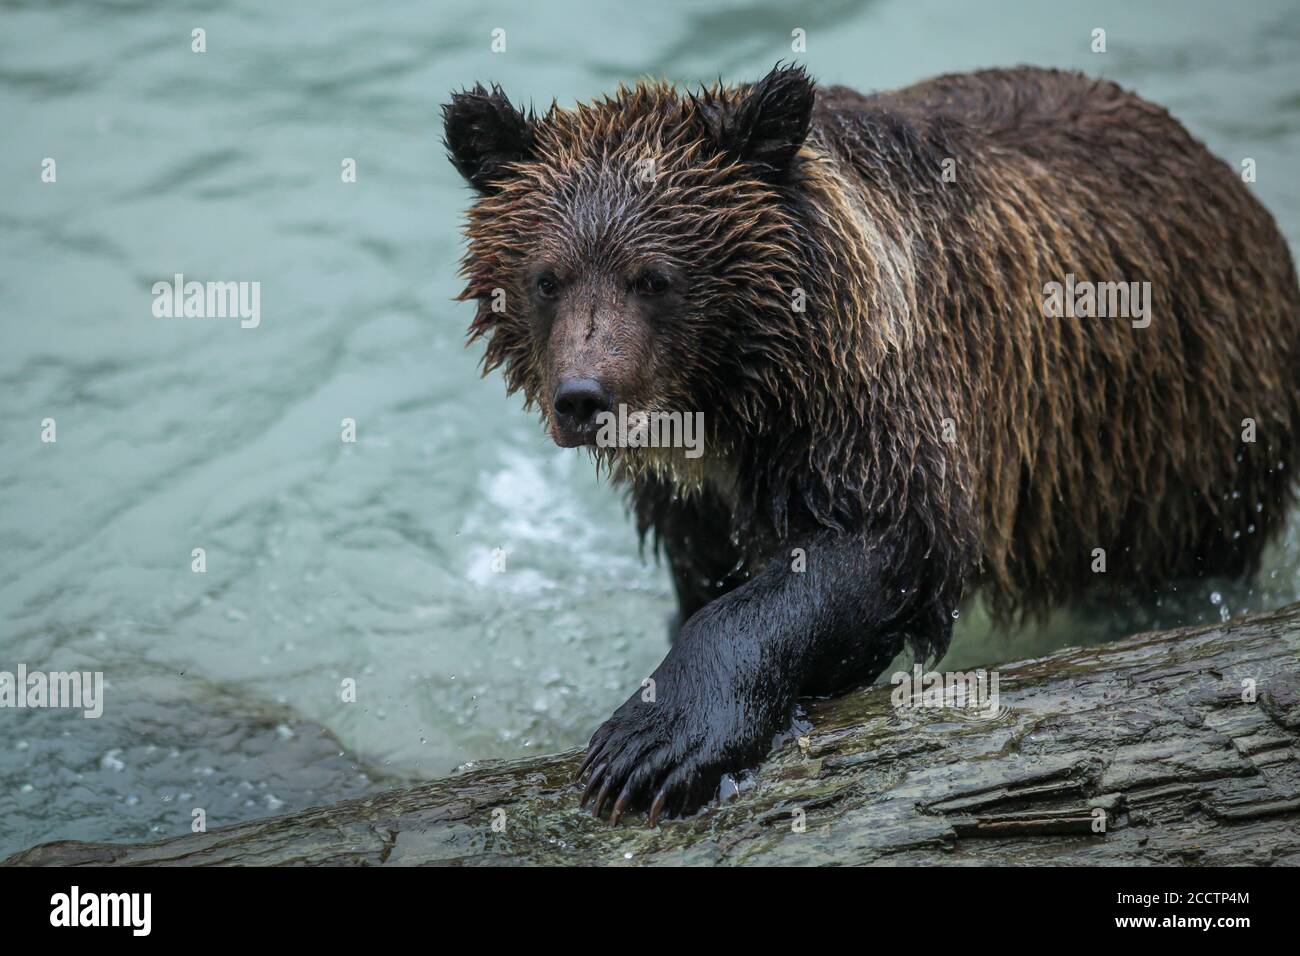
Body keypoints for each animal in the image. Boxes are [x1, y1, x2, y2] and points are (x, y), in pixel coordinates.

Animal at [439, 63, 1300, 827]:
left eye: (652, 277)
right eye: (547, 277)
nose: (585, 398)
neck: (728, 400)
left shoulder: (867, 395)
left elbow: (878, 543)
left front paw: (654, 746)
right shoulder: (694, 497)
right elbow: (713, 571)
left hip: (1177, 436)